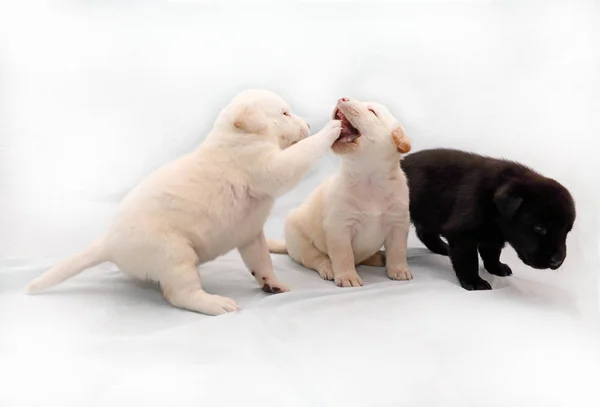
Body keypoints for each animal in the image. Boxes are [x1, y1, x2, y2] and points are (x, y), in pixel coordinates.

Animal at [25, 91, 342, 318]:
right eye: (285, 113)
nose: (309, 124)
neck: (237, 136)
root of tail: (109, 242)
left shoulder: (250, 234)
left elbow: (261, 261)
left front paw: (271, 282)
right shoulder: (267, 166)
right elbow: (301, 154)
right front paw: (332, 128)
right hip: (174, 254)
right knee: (181, 294)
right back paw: (216, 304)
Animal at [270, 96, 414, 286]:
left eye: (372, 111)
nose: (342, 98)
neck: (368, 177)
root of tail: (287, 245)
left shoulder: (398, 224)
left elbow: (398, 250)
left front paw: (399, 269)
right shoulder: (339, 227)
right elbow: (344, 255)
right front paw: (347, 276)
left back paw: (378, 257)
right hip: (300, 240)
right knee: (315, 259)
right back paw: (328, 267)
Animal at [364, 149, 576, 290]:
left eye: (567, 231)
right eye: (539, 227)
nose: (557, 260)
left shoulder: (491, 236)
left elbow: (491, 254)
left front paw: (496, 268)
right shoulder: (462, 235)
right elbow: (468, 260)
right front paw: (474, 281)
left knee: (425, 232)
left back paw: (442, 248)